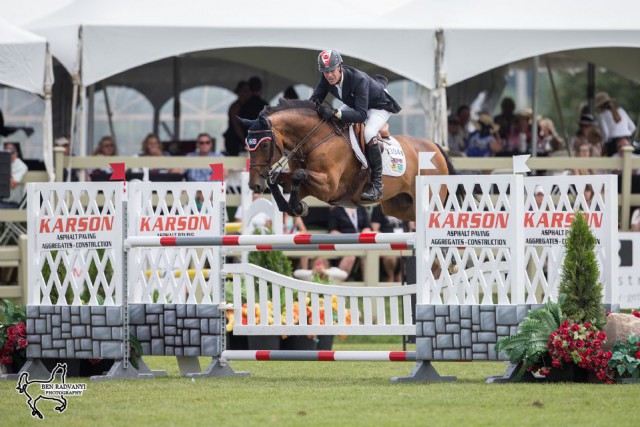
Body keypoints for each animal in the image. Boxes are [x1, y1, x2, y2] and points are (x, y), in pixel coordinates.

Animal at [238, 99, 455, 221]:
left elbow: (299, 174)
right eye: (248, 145)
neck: (314, 139)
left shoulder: (329, 187)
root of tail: (435, 147)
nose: (254, 186)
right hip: (399, 207)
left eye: (264, 145)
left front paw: (296, 207)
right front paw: (294, 207)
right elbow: (278, 180)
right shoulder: (307, 185)